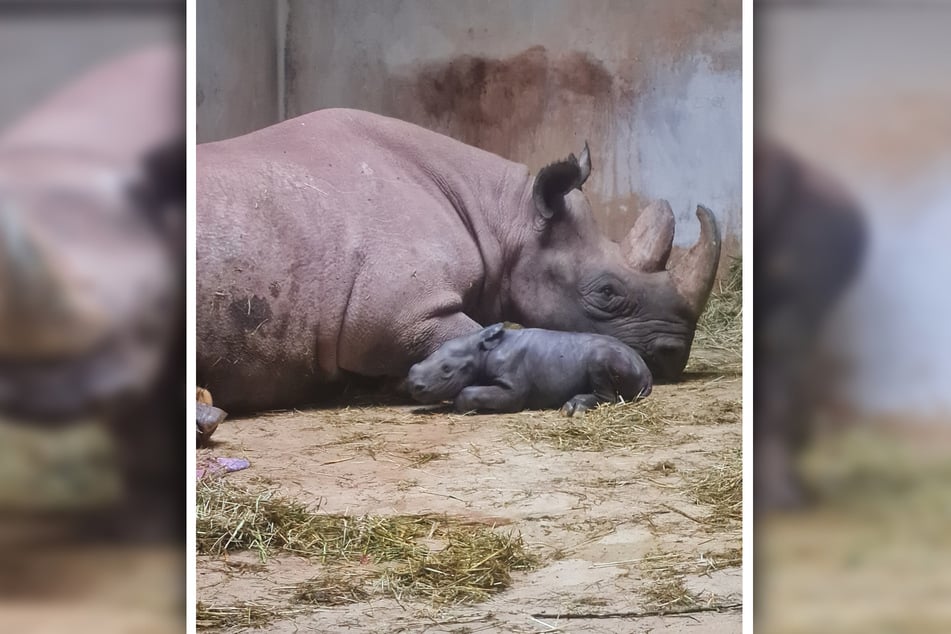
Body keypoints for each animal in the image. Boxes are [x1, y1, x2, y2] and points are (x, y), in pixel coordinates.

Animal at [406, 326, 652, 414]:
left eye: (447, 369)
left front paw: (464, 408)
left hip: (610, 356)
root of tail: (647, 370)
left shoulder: (512, 388)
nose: (413, 385)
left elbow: (467, 392)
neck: (481, 350)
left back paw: (572, 408)